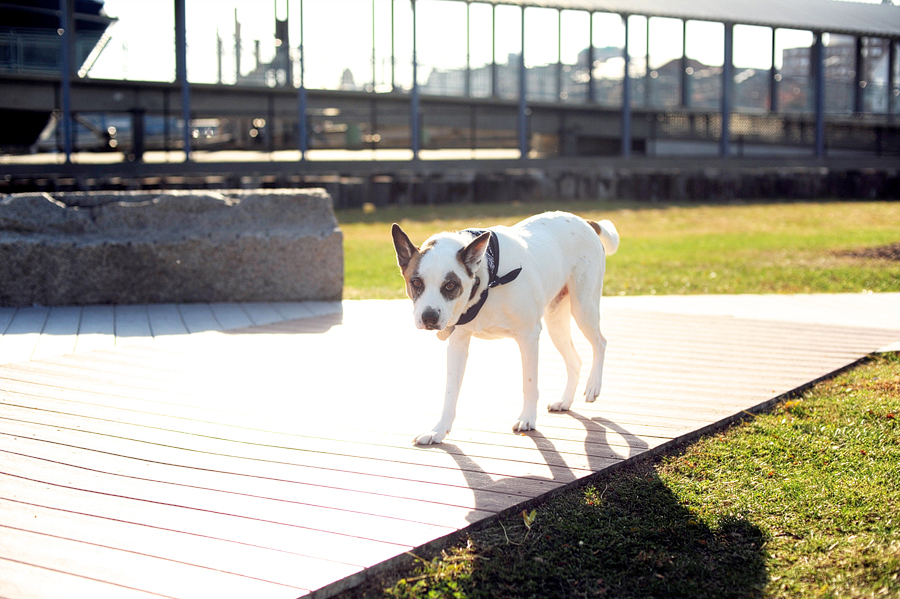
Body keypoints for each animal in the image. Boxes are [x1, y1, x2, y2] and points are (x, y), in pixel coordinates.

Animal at [394, 211, 620, 446]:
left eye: (450, 285)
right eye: (416, 283)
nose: (429, 317)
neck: (485, 280)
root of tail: (584, 221)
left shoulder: (529, 336)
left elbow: (529, 383)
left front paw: (527, 419)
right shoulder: (458, 343)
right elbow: (450, 391)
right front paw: (438, 430)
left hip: (584, 307)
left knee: (601, 343)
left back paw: (593, 385)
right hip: (556, 321)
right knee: (575, 360)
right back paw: (565, 401)